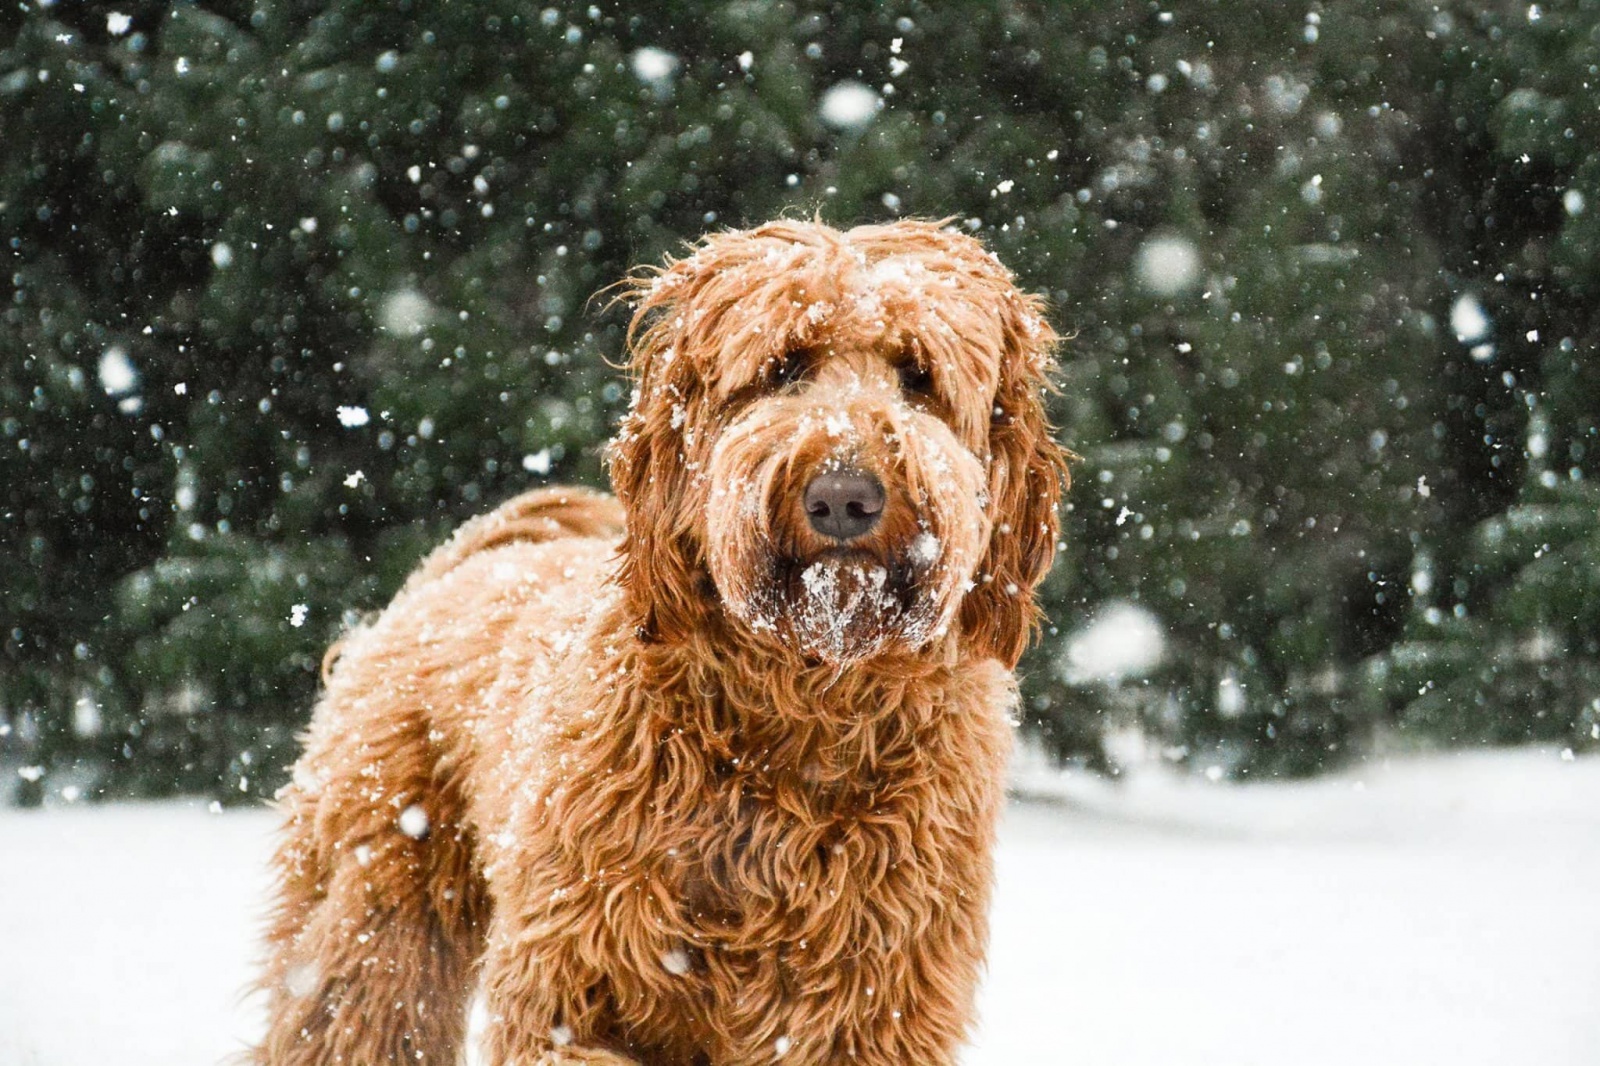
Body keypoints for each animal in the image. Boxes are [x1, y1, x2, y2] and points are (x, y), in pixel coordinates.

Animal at [252, 217, 1075, 1062]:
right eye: (783, 368)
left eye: (918, 375)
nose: (844, 496)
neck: (801, 710)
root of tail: (459, 563)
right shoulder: (567, 986)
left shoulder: (873, 1006)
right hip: (375, 901)